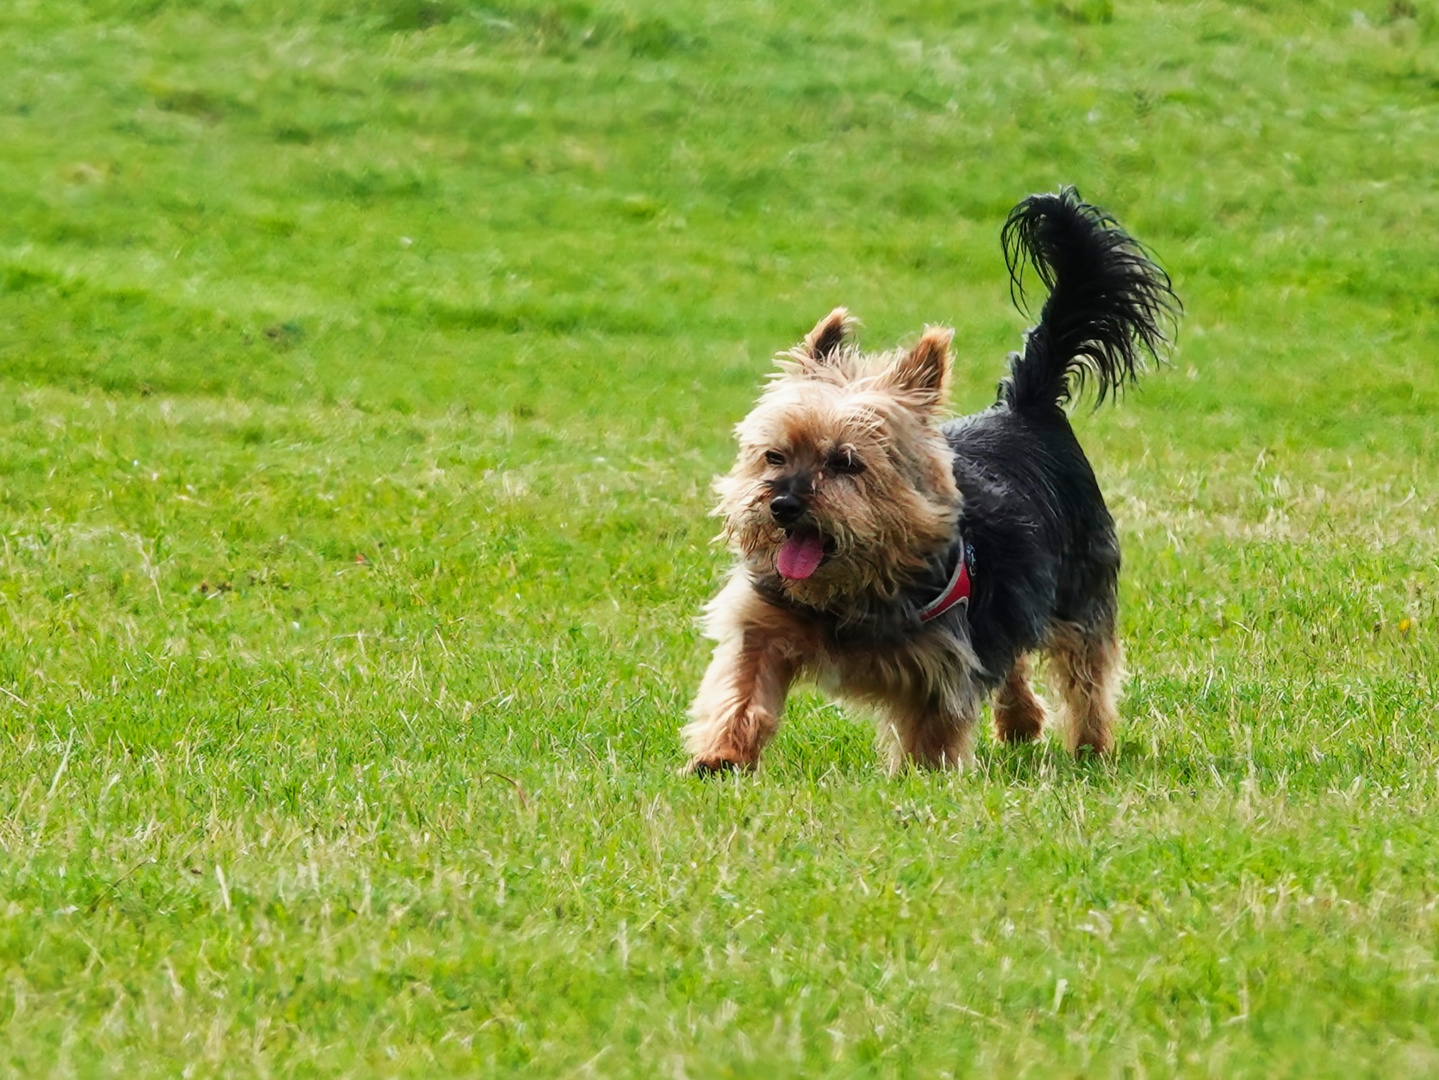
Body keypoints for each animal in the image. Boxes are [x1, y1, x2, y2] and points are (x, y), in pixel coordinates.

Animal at [679, 188, 1174, 776]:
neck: (850, 591)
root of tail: (1026, 405)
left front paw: (922, 779)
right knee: (1014, 659)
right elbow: (742, 688)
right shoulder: (763, 621)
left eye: (846, 463)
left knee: (1086, 675)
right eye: (774, 456)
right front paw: (721, 756)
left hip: (1080, 589)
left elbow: (933, 729)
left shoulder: (941, 662)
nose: (783, 505)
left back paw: (1090, 748)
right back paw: (1021, 722)